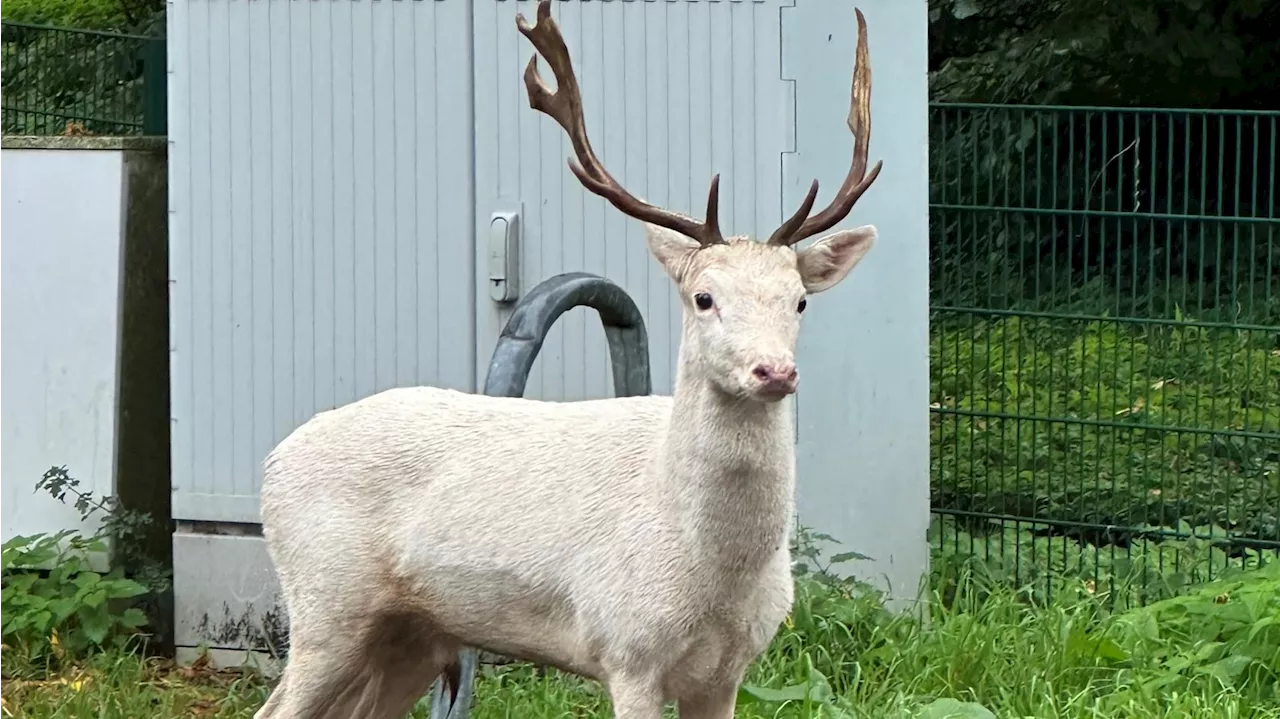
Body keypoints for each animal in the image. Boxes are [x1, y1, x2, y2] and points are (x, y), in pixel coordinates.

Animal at [256, 2, 885, 711]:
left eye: (800, 301)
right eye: (703, 297)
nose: (774, 370)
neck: (711, 574)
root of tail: (272, 464)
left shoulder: (732, 668)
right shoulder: (628, 648)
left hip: (411, 634)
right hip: (325, 602)